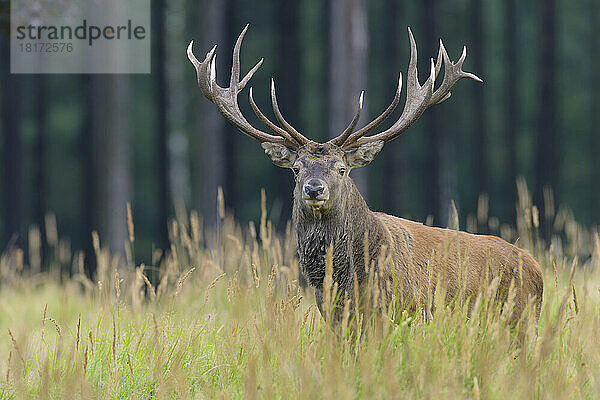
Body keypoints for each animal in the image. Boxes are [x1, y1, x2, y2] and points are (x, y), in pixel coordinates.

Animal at [188, 23, 544, 326]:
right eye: (296, 169)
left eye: (342, 169)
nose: (314, 189)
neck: (343, 280)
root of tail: (538, 272)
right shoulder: (335, 318)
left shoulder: (394, 312)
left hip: (517, 321)